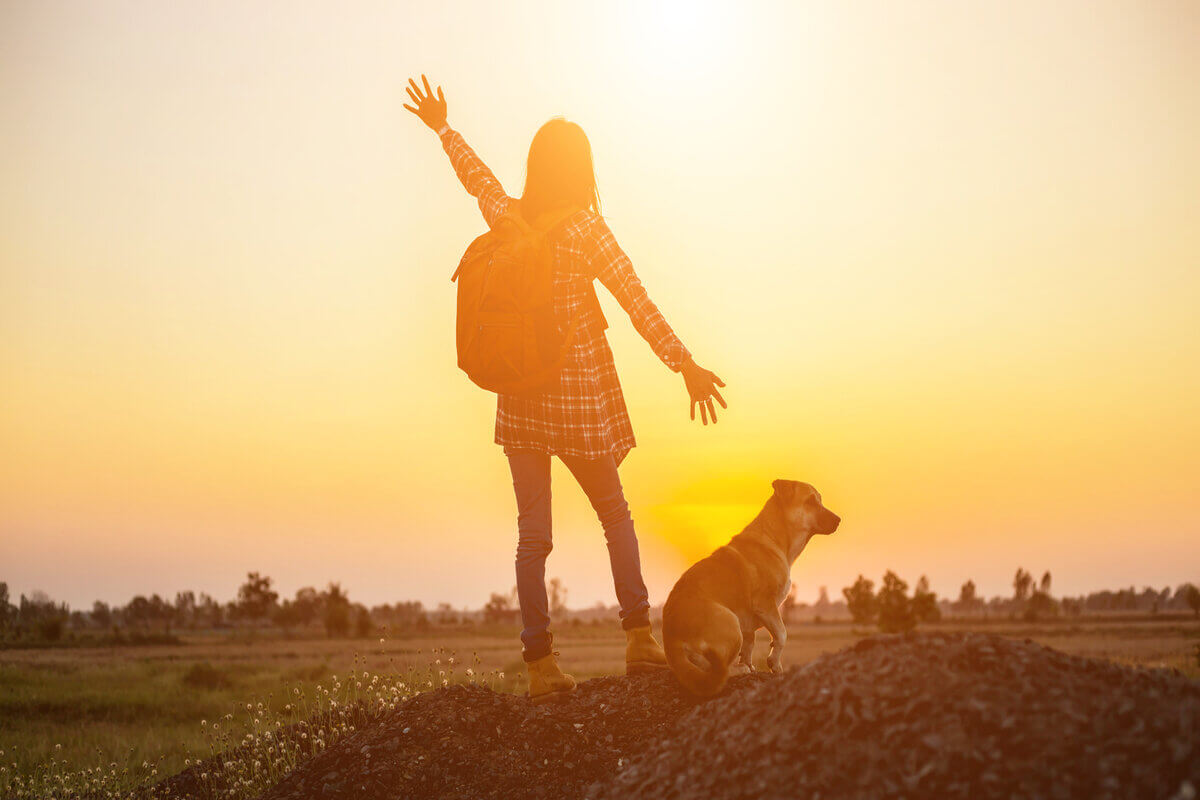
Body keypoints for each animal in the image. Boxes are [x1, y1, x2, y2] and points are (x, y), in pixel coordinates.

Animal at [662, 479, 840, 695]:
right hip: (730, 622)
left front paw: (756, 663)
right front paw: (773, 663)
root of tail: (671, 641)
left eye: (819, 500)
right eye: (810, 501)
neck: (776, 538)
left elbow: (751, 643)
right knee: (719, 670)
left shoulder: (750, 621)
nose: (839, 520)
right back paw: (739, 669)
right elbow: (782, 634)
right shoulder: (766, 604)